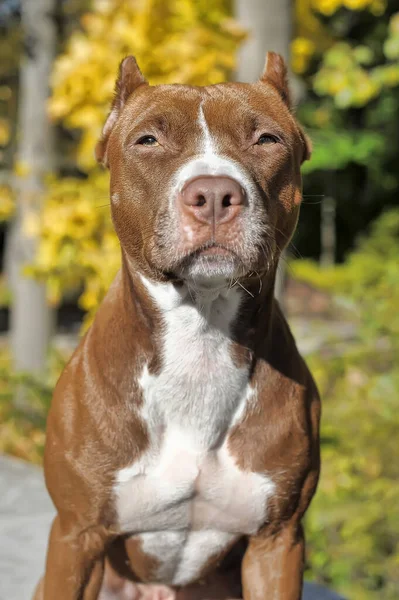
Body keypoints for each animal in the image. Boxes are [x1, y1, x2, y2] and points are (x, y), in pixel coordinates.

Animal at [33, 51, 322, 600]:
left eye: (266, 139)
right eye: (148, 140)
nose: (213, 194)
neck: (200, 341)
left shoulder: (277, 541)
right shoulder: (76, 536)